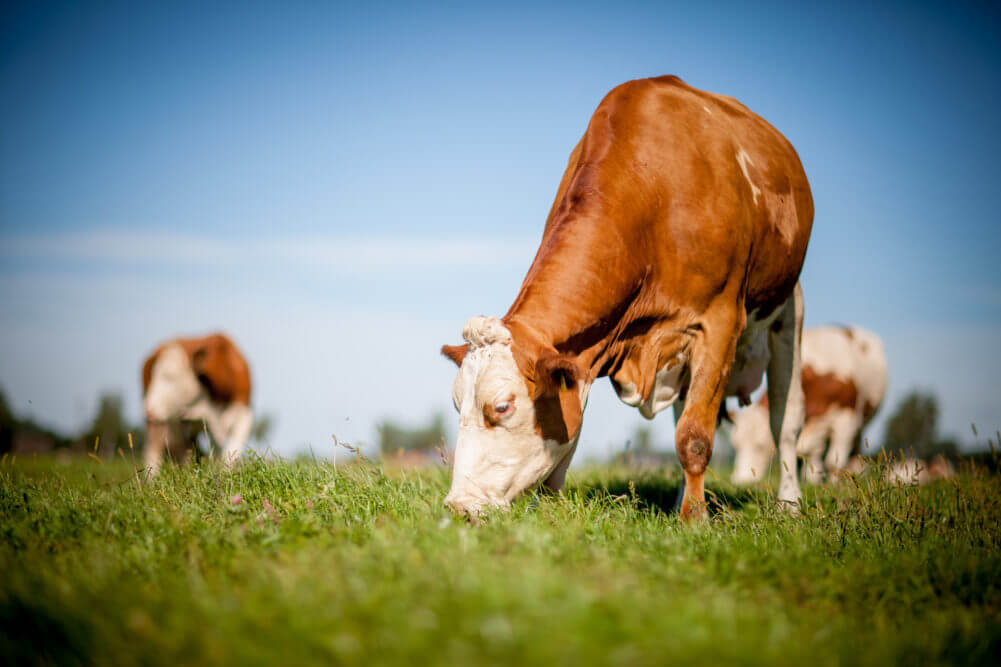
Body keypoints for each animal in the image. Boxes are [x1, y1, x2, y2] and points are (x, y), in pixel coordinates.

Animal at [141, 332, 254, 472]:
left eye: (171, 377)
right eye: (153, 376)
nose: (148, 409)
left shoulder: (244, 414)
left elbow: (231, 453)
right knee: (154, 450)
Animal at [440, 75, 812, 516]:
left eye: (502, 406)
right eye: (457, 405)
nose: (458, 505)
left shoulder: (719, 321)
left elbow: (695, 437)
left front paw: (695, 519)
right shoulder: (583, 354)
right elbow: (571, 440)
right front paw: (550, 512)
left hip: (788, 308)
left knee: (785, 420)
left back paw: (789, 504)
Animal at [732, 322, 888, 482]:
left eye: (760, 445)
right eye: (736, 445)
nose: (740, 480)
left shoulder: (846, 418)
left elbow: (834, 461)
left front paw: (834, 484)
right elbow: (812, 454)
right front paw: (813, 481)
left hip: (862, 421)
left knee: (855, 451)